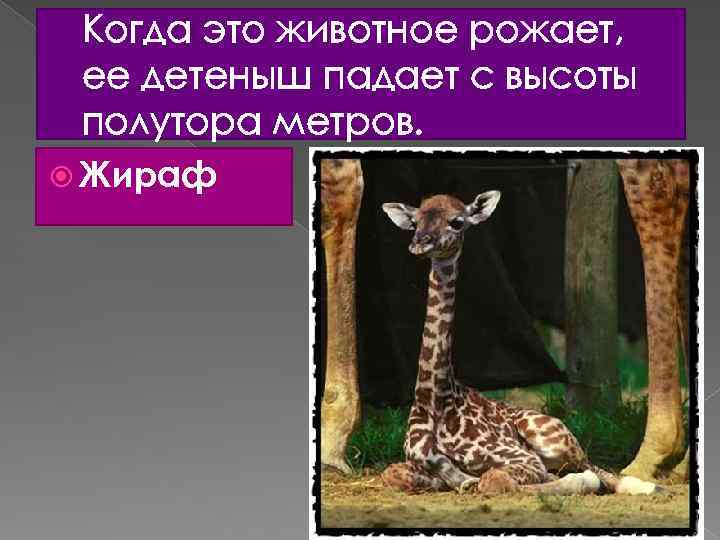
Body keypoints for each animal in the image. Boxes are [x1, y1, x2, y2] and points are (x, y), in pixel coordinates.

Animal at [379, 191, 660, 496]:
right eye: (415, 221)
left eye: (457, 222)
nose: (420, 243)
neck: (434, 401)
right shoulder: (414, 460)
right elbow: (394, 474)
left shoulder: (522, 458)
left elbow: (496, 480)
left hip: (554, 440)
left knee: (594, 470)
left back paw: (643, 486)